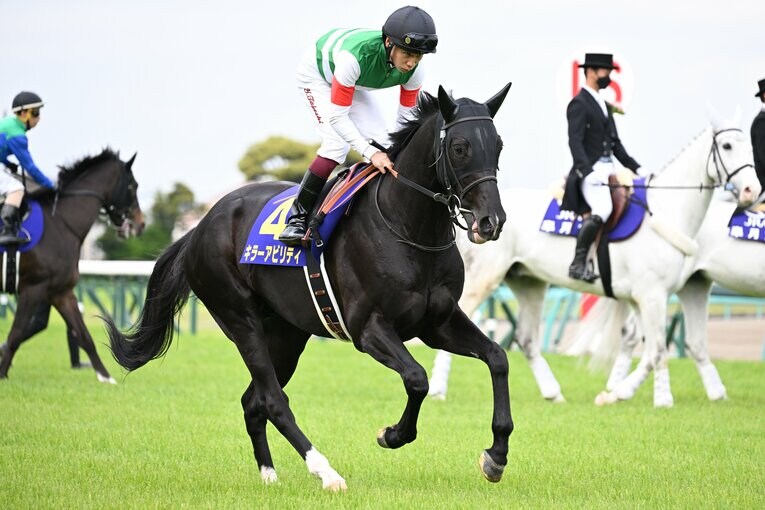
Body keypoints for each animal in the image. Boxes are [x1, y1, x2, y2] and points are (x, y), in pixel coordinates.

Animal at [0, 149, 145, 383]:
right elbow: (16, 334)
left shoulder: (61, 292)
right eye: (132, 186)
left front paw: (106, 378)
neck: (61, 223)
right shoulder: (32, 288)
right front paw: (3, 373)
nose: (140, 224)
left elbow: (84, 336)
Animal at [106, 85, 514, 491]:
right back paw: (326, 471)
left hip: (286, 334)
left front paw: (495, 456)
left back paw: (269, 474)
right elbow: (416, 379)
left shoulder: (436, 323)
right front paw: (392, 434)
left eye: (498, 144)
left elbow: (497, 357)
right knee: (273, 400)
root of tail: (199, 228)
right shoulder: (368, 328)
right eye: (459, 147)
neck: (410, 229)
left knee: (253, 400)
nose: (491, 221)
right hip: (240, 319)